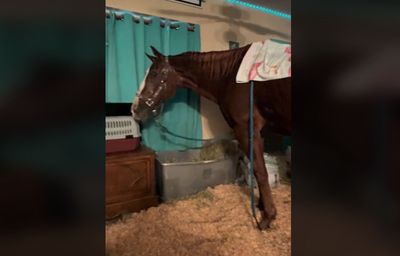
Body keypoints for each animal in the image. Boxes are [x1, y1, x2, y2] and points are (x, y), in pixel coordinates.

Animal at [131, 45, 290, 229]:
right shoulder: (259, 133)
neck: (231, 77)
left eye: (155, 73)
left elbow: (260, 172)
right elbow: (257, 170)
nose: (135, 109)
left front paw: (267, 217)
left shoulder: (246, 130)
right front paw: (262, 207)